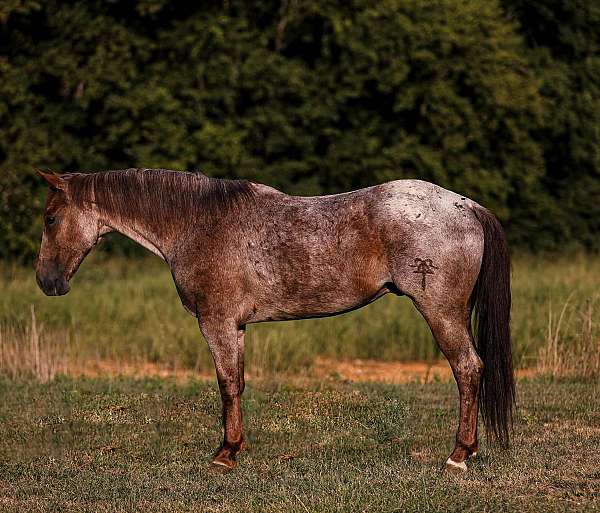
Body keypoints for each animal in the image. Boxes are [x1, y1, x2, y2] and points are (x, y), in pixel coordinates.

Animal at [36, 168, 516, 472]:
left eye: (50, 218)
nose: (46, 281)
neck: (198, 223)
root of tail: (466, 206)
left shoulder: (217, 323)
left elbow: (227, 385)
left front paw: (225, 455)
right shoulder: (236, 327)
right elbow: (238, 383)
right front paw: (235, 448)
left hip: (441, 312)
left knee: (468, 368)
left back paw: (459, 455)